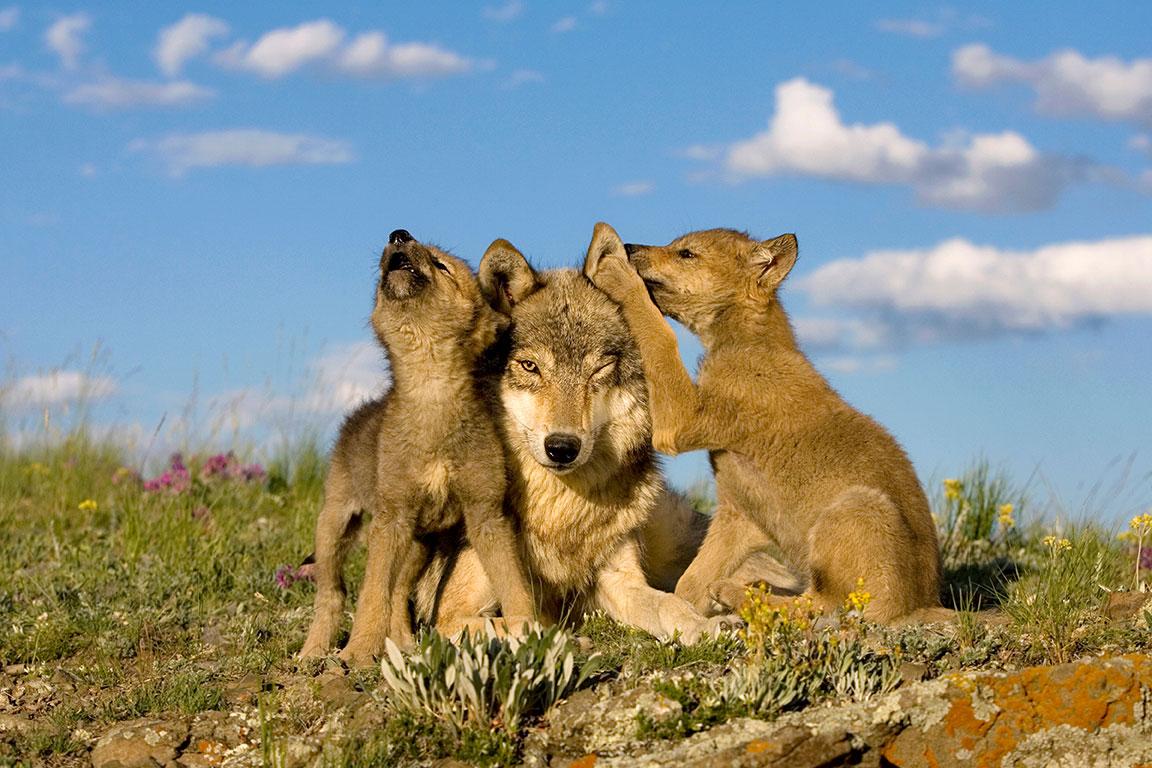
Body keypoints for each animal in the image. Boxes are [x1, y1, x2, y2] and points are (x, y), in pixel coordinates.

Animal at [585, 222, 944, 626]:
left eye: (686, 253)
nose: (630, 246)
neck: (745, 344)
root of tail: (921, 604)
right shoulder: (739, 514)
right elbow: (688, 585)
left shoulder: (682, 419)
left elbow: (660, 335)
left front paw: (616, 274)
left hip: (856, 506)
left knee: (826, 606)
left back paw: (738, 592)